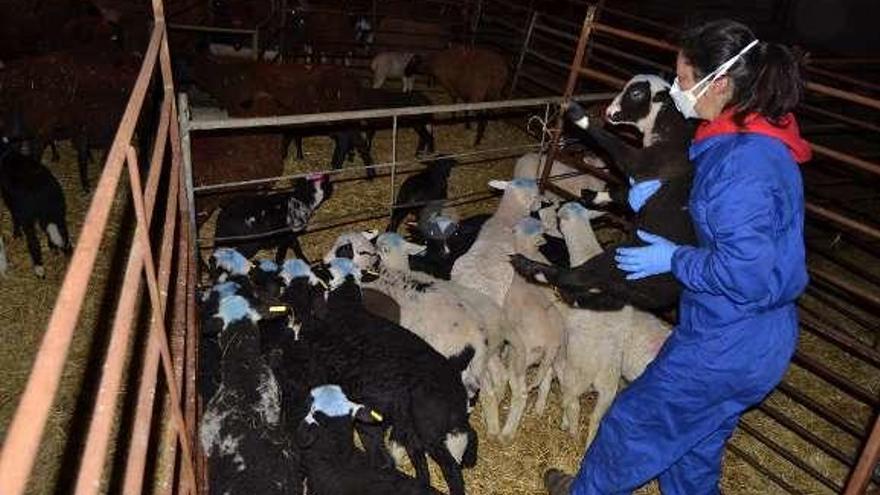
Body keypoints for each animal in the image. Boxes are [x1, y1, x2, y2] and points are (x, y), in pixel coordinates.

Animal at [0, 138, 72, 278]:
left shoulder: (12, 202)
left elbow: (14, 217)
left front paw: (16, 234)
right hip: (58, 212)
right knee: (63, 234)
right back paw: (66, 254)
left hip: (28, 215)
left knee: (33, 241)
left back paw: (39, 267)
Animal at [502, 218, 564, 442]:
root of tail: (553, 340)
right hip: (555, 358)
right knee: (549, 382)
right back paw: (540, 410)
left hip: (521, 360)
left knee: (521, 393)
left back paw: (507, 432)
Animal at [512, 74, 696, 310]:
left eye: (637, 93)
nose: (609, 112)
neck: (670, 128)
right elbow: (624, 194)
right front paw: (593, 197)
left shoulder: (647, 163)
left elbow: (616, 146)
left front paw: (578, 115)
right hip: (625, 287)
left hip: (623, 260)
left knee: (577, 277)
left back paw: (531, 268)